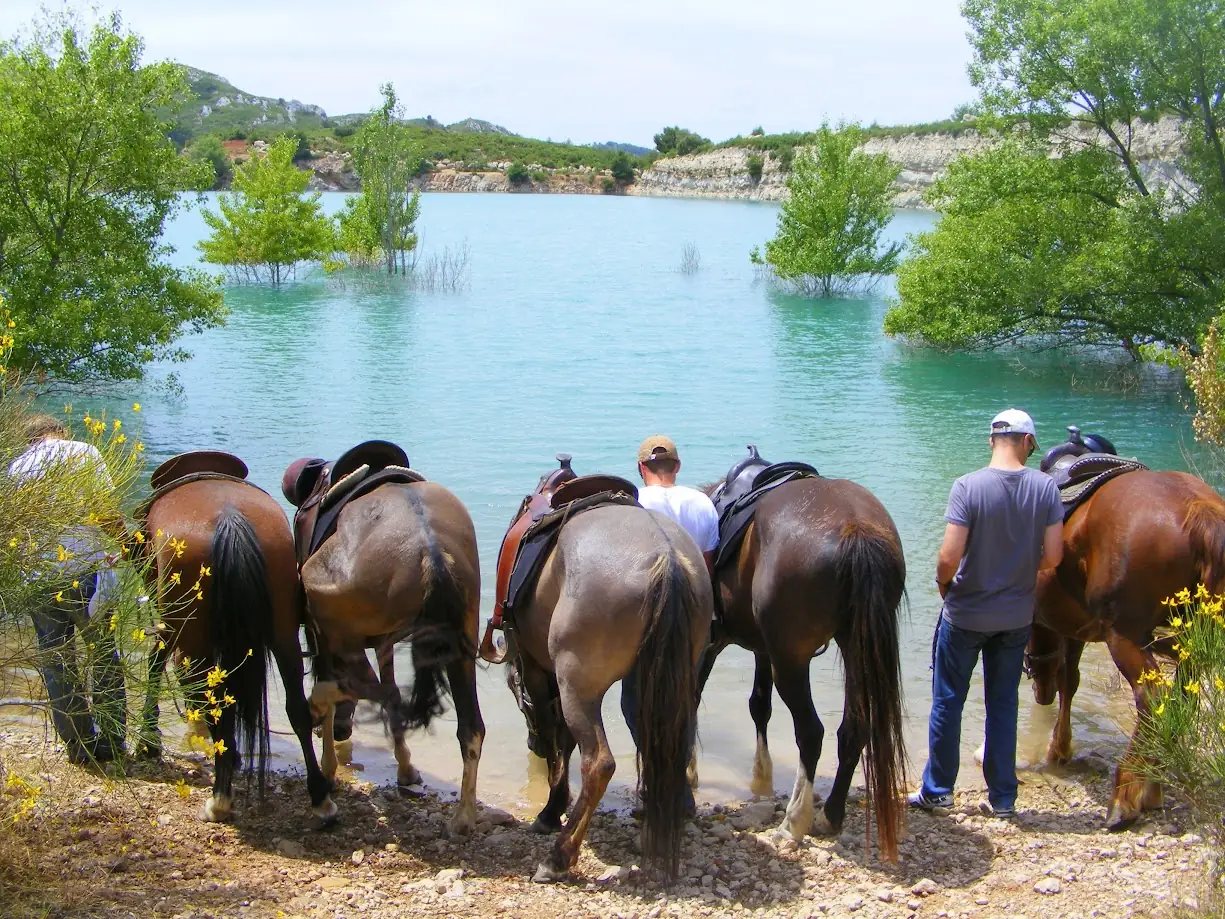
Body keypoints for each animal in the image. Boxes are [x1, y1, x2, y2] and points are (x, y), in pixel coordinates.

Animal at [138, 473, 334, 824]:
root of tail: (230, 518)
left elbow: (157, 663)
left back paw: (220, 798)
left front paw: (148, 738)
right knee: (297, 709)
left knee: (216, 706)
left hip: (193, 640)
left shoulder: (174, 631)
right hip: (283, 635)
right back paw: (320, 798)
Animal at [296, 479, 485, 836]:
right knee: (470, 728)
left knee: (372, 691)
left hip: (333, 619)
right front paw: (405, 767)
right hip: (462, 640)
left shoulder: (326, 635)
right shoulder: (383, 643)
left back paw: (315, 704)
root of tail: (430, 550)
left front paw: (328, 767)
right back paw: (464, 816)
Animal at [506, 470, 711, 882]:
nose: (531, 748)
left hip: (579, 686)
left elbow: (555, 736)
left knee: (599, 764)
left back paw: (559, 856)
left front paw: (550, 812)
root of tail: (666, 559)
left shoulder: (539, 670)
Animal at [698, 462, 908, 861]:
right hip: (853, 648)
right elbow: (758, 705)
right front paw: (761, 778)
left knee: (811, 733)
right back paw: (830, 815)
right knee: (853, 730)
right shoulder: (762, 650)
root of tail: (855, 528)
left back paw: (794, 821)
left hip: (792, 663)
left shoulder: (710, 646)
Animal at [1027, 466, 1225, 829]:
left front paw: (1059, 750)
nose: (1039, 693)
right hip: (1192, 645)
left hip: (1125, 638)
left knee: (1153, 697)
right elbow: (1070, 682)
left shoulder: (1074, 632)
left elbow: (1068, 682)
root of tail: (1200, 511)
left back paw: (1127, 796)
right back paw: (1153, 787)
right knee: (1180, 701)